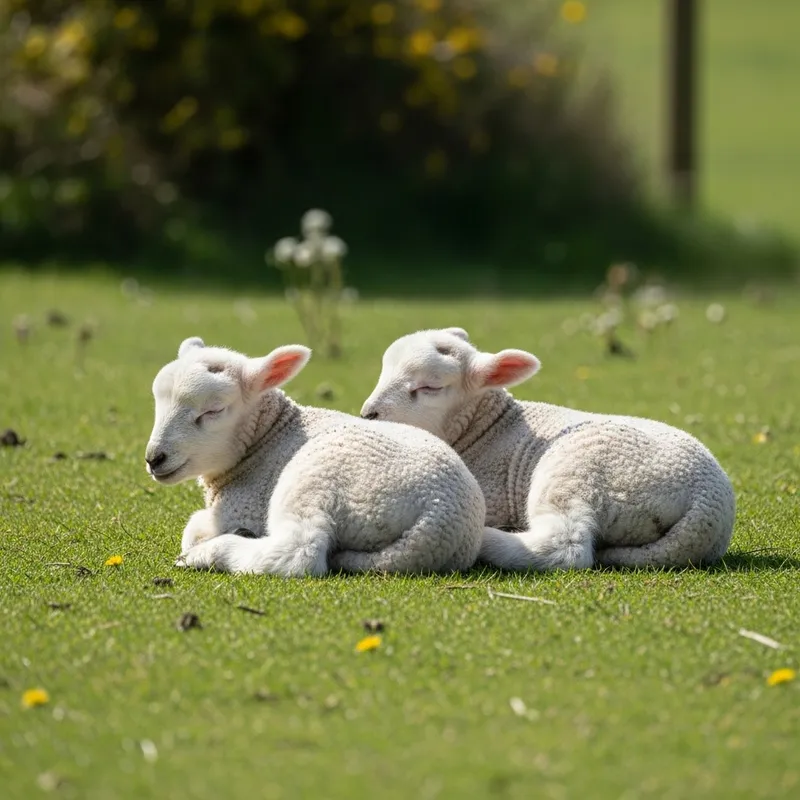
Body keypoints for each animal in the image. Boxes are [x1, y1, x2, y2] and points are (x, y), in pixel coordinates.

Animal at [144, 337, 485, 577]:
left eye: (213, 411)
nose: (154, 458)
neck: (267, 438)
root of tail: (439, 519)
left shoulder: (245, 506)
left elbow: (193, 527)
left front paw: (207, 539)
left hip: (317, 478)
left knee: (298, 553)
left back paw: (206, 555)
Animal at [360, 328, 736, 570]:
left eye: (429, 387)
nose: (368, 414)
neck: (486, 430)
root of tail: (708, 503)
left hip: (578, 469)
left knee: (566, 546)